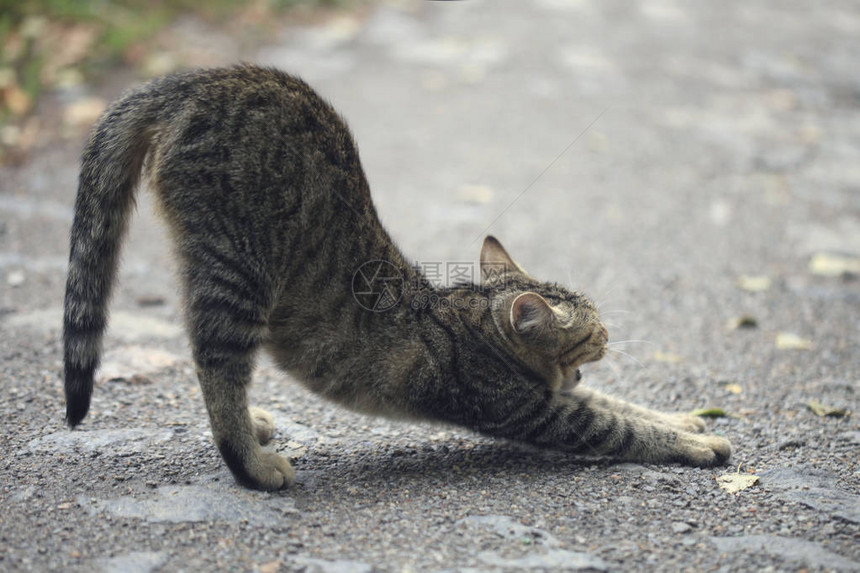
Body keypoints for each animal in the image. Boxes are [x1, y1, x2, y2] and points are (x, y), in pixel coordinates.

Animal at [63, 65, 728, 490]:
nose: (610, 335)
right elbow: (618, 428)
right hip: (236, 272)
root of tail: (186, 82)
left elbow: (624, 404)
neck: (473, 322)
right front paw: (694, 444)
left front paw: (684, 419)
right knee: (215, 366)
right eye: (593, 330)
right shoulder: (529, 409)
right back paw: (250, 463)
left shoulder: (559, 392)